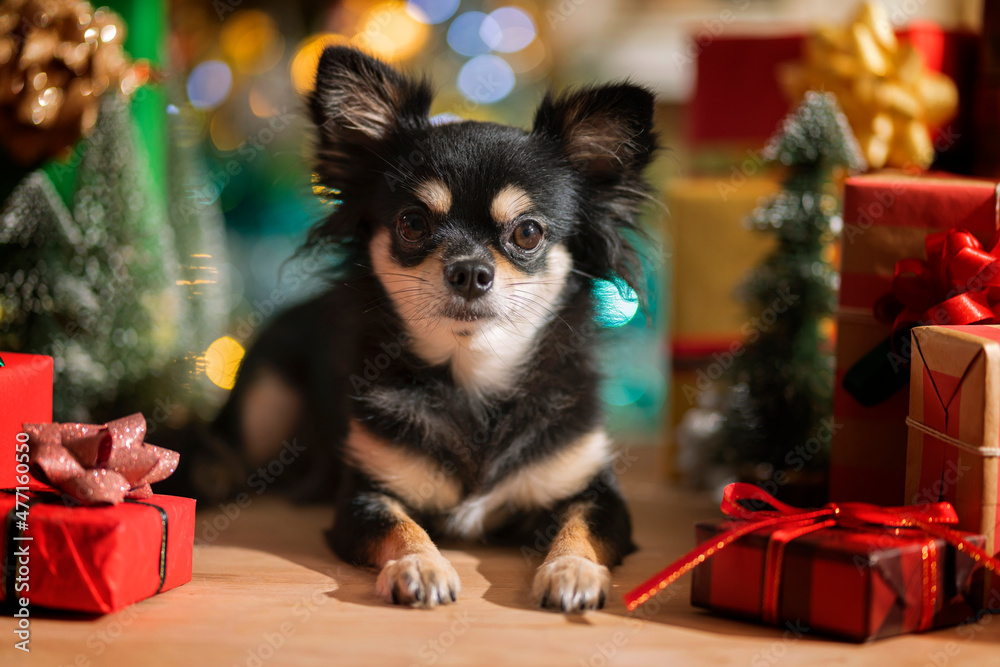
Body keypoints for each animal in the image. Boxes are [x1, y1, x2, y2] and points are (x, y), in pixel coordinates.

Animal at [213, 44, 656, 612]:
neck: (473, 375)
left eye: (528, 233)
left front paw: (572, 571)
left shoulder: (593, 491)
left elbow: (582, 529)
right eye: (412, 224)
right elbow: (400, 527)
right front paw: (420, 566)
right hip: (265, 404)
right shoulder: (368, 495)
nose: (469, 271)